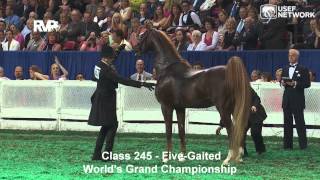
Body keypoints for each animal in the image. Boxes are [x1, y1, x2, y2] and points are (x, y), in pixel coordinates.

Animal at [135, 27, 250, 165]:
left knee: (231, 129)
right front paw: (182, 157)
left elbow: (168, 131)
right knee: (239, 129)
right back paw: (239, 157)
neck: (167, 69)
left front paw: (166, 157)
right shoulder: (180, 108)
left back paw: (228, 159)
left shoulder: (166, 106)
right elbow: (181, 131)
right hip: (233, 108)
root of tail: (230, 71)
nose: (135, 49)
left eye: (142, 36)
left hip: (223, 109)